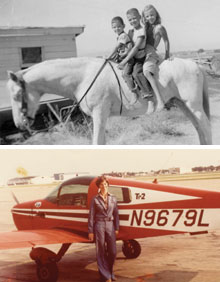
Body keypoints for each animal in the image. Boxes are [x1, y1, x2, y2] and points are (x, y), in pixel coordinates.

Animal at [7, 57, 211, 145]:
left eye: (16, 96)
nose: (19, 124)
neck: (84, 76)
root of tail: (196, 63)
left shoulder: (99, 114)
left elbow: (97, 143)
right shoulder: (100, 117)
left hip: (193, 105)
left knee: (206, 127)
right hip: (183, 105)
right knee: (199, 129)